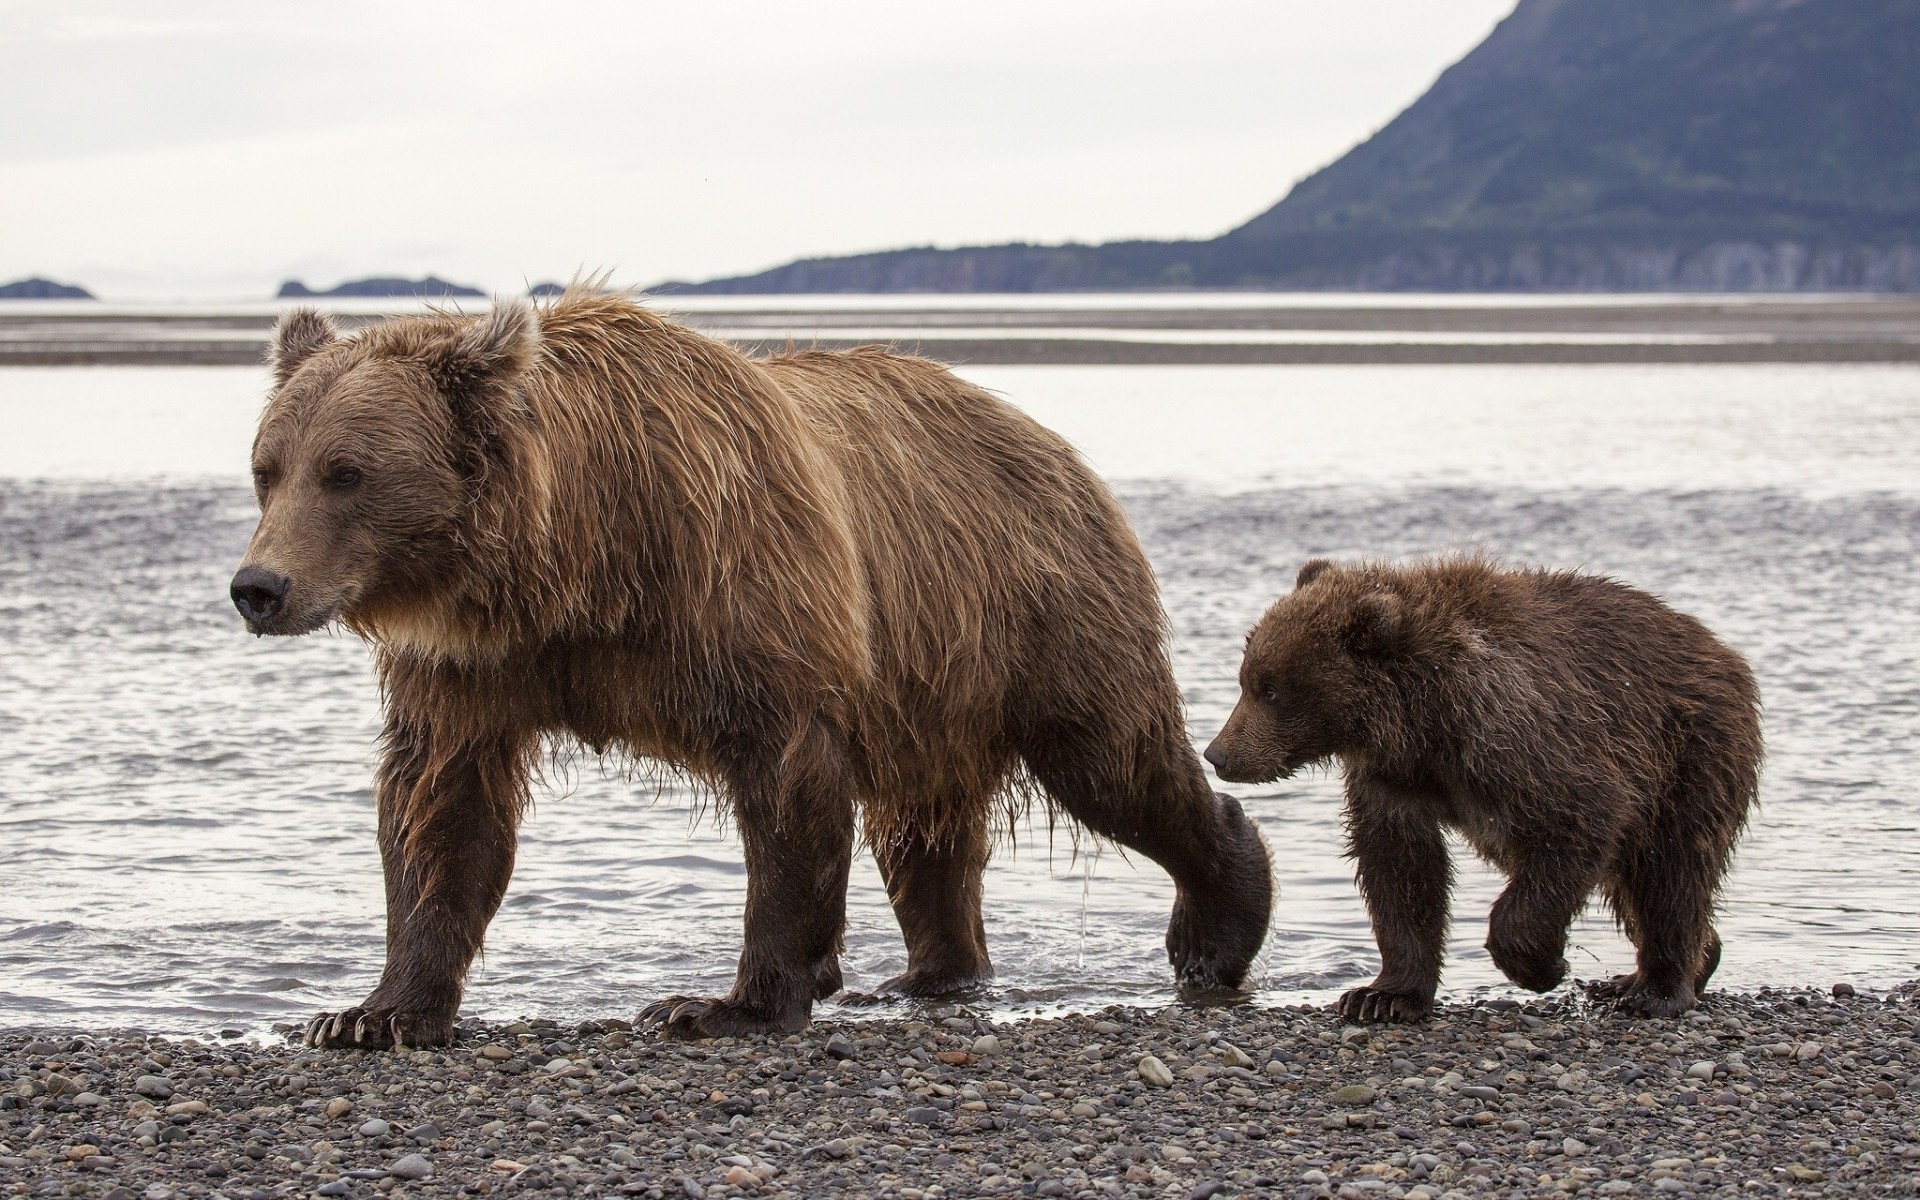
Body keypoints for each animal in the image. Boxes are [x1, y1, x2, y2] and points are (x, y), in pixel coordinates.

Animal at [230, 290, 1273, 1047]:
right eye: (267, 466)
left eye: (347, 472)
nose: (259, 587)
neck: (578, 561)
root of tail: (1052, 442)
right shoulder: (474, 666)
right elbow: (440, 808)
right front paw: (370, 1012)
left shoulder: (741, 592)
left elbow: (785, 790)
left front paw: (721, 1003)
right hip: (931, 683)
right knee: (923, 835)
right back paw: (929, 974)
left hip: (1039, 612)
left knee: (1117, 764)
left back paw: (1218, 925)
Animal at [1204, 555, 1761, 1021]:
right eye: (1246, 678)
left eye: (1271, 689)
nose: (1218, 754)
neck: (1421, 722)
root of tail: (1723, 650)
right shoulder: (1392, 780)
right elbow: (1400, 869)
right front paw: (1381, 996)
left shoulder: (1520, 740)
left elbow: (1581, 817)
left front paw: (1542, 965)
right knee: (1635, 883)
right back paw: (1669, 966)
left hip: (1689, 753)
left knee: (1670, 871)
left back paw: (1656, 989)